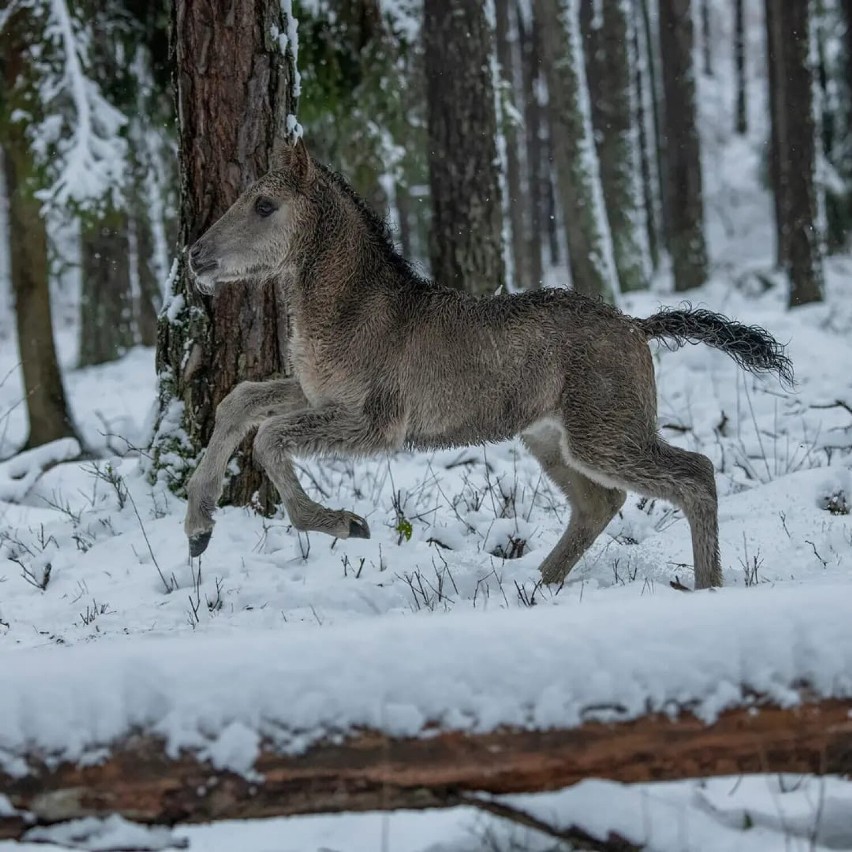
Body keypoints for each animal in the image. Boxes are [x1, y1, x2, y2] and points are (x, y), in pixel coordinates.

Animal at [185, 141, 792, 592]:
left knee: (696, 473)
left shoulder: (376, 423)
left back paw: (708, 588)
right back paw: (537, 584)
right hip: (551, 437)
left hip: (605, 432)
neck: (349, 307)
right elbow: (240, 401)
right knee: (601, 502)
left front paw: (345, 523)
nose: (194, 255)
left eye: (265, 205)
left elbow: (270, 438)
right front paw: (197, 527)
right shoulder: (317, 395)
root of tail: (637, 326)